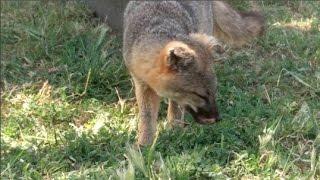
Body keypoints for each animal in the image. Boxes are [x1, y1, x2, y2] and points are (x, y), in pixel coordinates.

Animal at [123, 0, 264, 146]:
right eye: (200, 95)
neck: (159, 22)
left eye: (214, 91)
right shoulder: (142, 83)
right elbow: (147, 117)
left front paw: (174, 131)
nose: (218, 118)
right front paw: (144, 144)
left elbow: (176, 108)